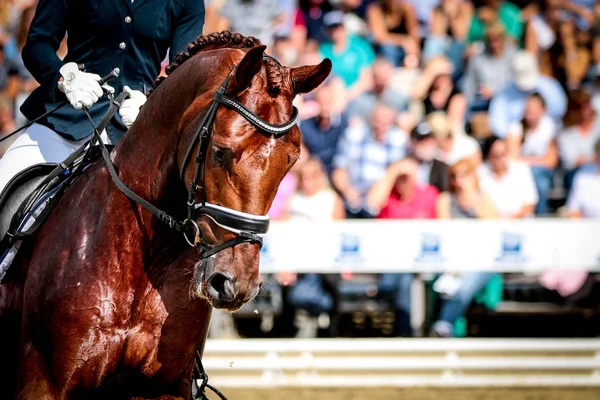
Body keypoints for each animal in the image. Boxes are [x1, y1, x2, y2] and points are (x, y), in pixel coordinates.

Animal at [0, 32, 332, 400]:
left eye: (290, 161)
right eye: (220, 151)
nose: (237, 283)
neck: (139, 254)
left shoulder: (163, 388)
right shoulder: (43, 382)